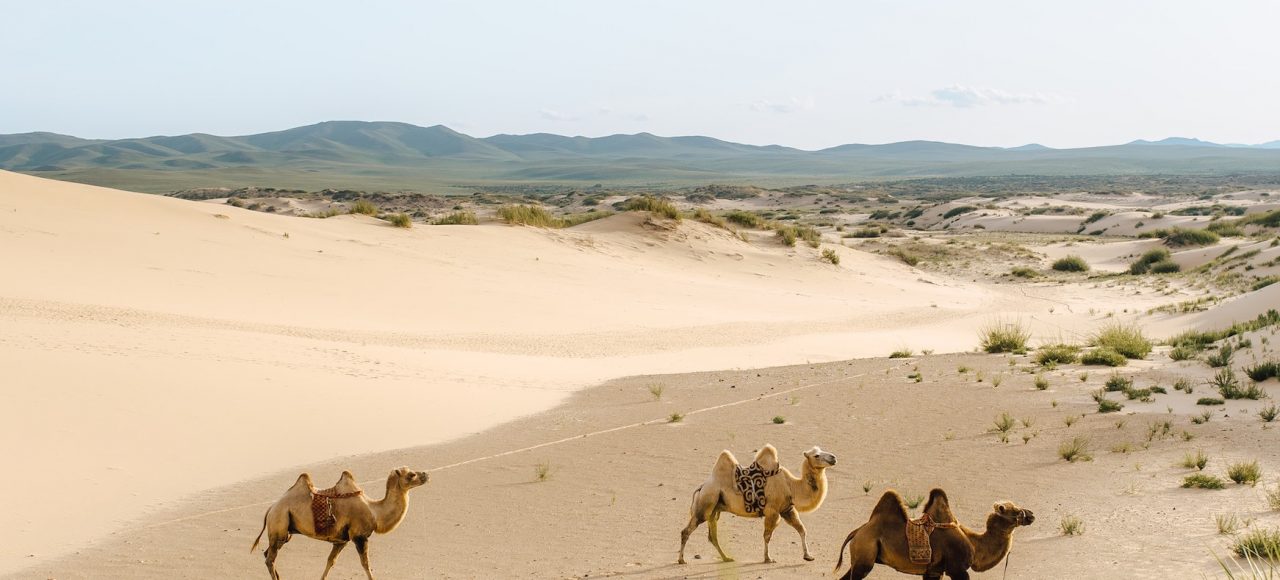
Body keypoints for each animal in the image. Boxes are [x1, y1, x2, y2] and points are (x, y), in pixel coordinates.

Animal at [249, 466, 430, 578]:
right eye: (411, 474)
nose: (426, 474)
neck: (375, 512)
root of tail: (271, 508)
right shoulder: (360, 537)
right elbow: (366, 564)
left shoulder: (341, 540)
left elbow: (331, 562)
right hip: (279, 523)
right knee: (270, 559)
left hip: (284, 532)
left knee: (268, 555)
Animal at [675, 445, 834, 563]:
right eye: (816, 455)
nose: (833, 457)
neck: (791, 486)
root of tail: (701, 487)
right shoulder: (772, 511)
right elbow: (767, 536)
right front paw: (768, 558)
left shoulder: (787, 509)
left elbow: (802, 530)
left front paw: (808, 556)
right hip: (706, 503)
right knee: (686, 531)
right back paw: (681, 560)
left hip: (714, 509)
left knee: (712, 536)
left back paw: (726, 558)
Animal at [834, 489, 1034, 578]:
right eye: (1015, 510)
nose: (1031, 514)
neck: (974, 544)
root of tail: (857, 531)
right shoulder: (957, 569)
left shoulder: (934, 571)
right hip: (864, 557)